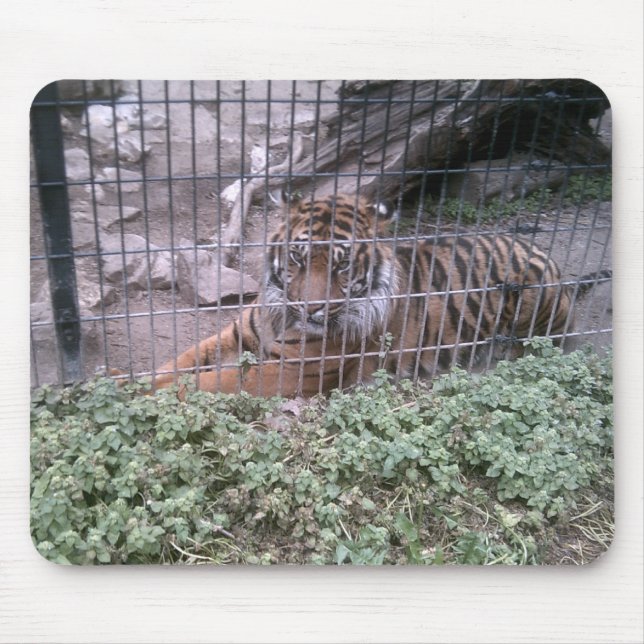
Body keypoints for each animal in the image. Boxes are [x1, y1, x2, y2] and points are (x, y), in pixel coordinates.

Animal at [148, 193, 609, 398]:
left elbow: (212, 380)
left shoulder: (292, 370)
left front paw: (145, 395)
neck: (282, 313)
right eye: (297, 257)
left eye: (342, 267)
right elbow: (186, 359)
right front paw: (138, 381)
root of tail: (550, 260)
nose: (310, 308)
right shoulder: (238, 333)